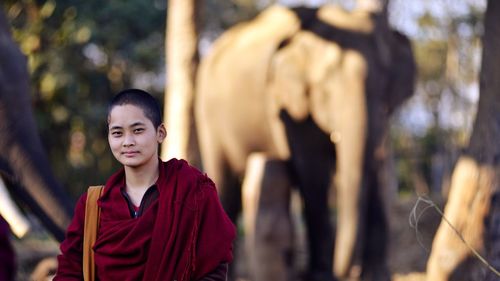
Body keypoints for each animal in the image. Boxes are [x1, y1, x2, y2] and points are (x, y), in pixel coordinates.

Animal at [195, 4, 414, 280]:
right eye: (326, 88)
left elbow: (372, 165)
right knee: (225, 184)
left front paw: (376, 275)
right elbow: (313, 172)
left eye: (386, 84)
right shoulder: (288, 103)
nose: (348, 272)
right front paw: (321, 274)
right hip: (209, 117)